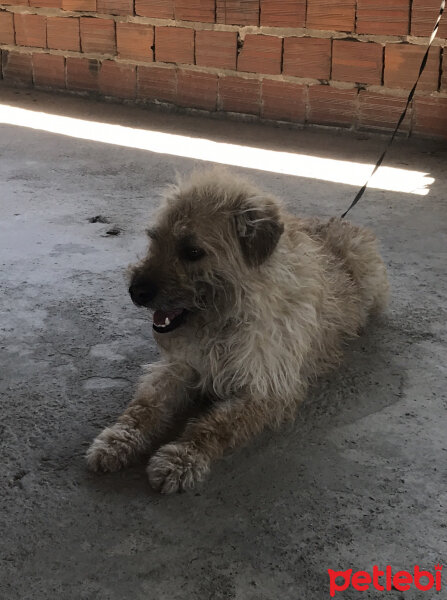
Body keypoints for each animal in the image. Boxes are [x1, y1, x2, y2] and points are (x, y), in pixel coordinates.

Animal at [86, 168, 388, 492]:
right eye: (154, 238)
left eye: (193, 251)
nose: (135, 292)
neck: (224, 321)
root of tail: (342, 220)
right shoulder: (180, 366)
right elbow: (145, 405)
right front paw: (117, 440)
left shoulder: (265, 388)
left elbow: (216, 426)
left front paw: (182, 458)